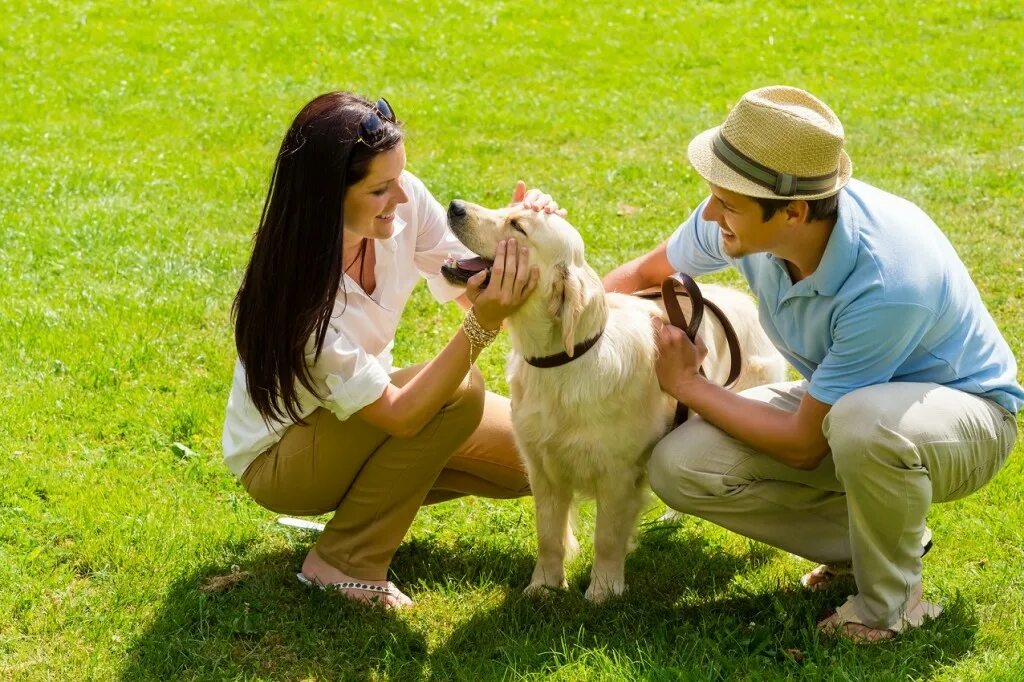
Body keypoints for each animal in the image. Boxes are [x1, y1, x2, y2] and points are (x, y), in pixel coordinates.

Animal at [440, 197, 782, 602]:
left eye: (518, 226)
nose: (455, 206)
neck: (564, 361)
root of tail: (742, 299)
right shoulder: (542, 468)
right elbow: (548, 536)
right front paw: (544, 586)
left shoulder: (617, 474)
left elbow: (606, 537)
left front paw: (603, 590)